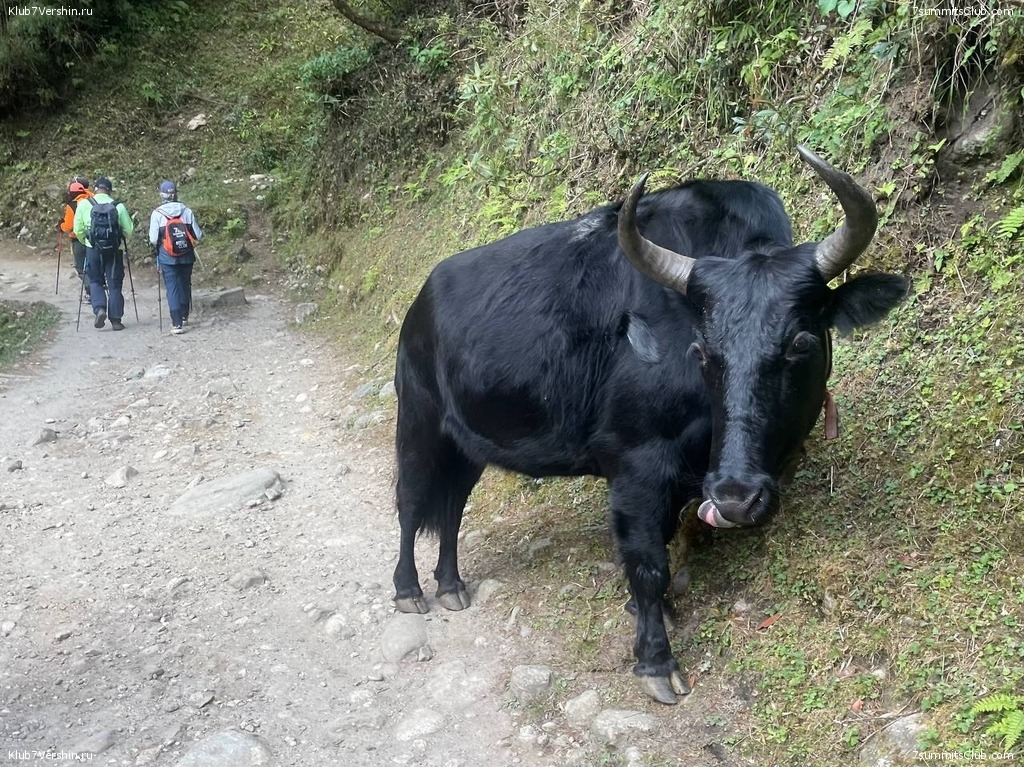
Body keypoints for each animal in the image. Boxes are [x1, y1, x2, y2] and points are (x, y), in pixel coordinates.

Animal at [391, 146, 907, 704]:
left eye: (802, 343)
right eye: (701, 351)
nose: (735, 498)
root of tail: (418, 305)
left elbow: (663, 542)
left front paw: (659, 612)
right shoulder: (636, 467)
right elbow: (647, 562)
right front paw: (657, 662)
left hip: (467, 450)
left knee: (451, 509)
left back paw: (450, 586)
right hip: (417, 426)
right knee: (411, 504)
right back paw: (410, 591)